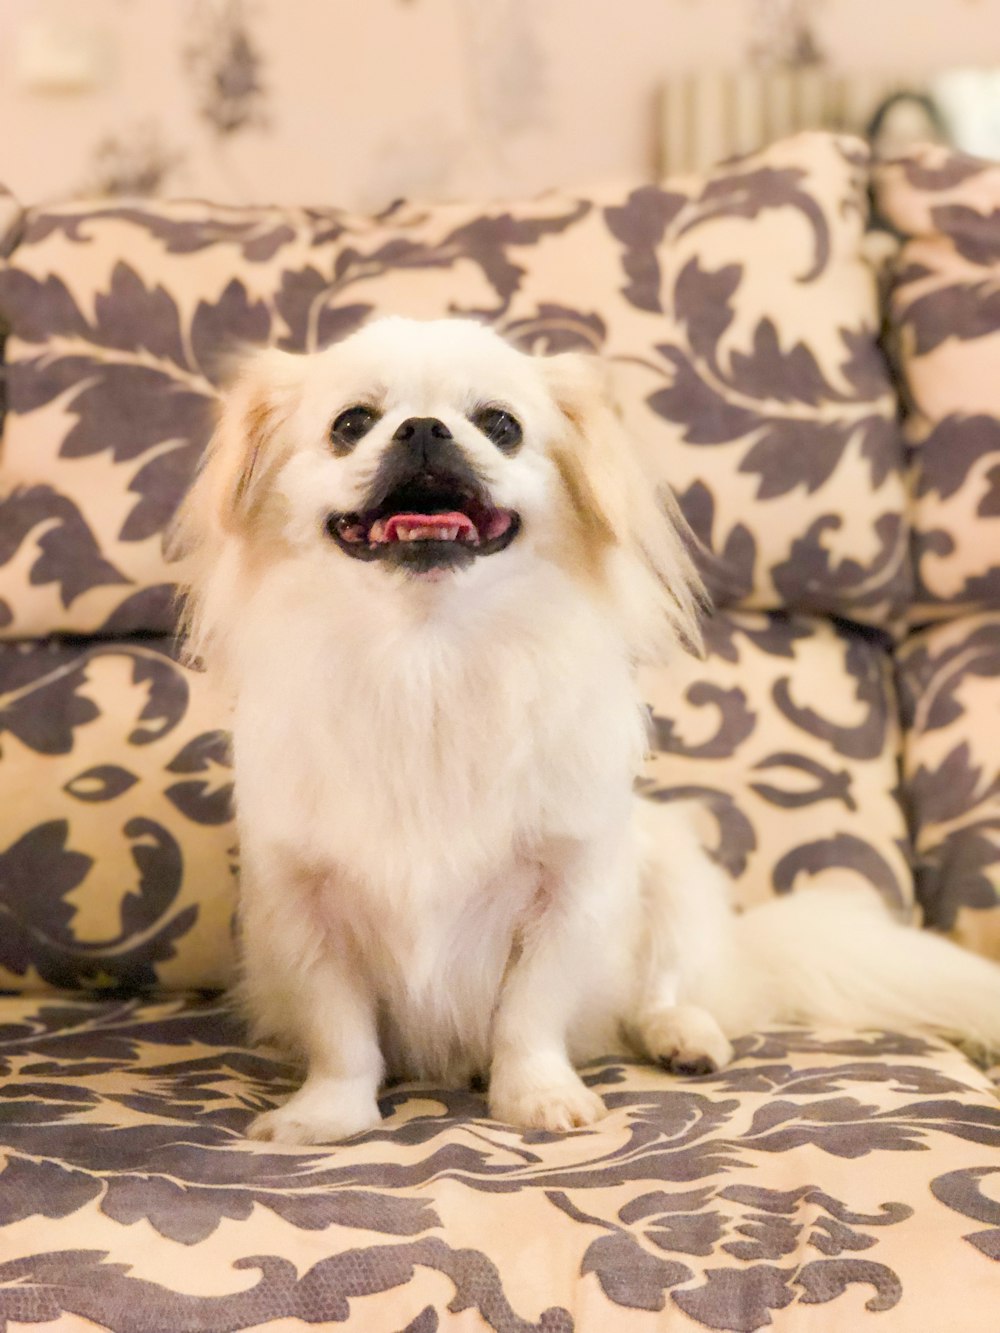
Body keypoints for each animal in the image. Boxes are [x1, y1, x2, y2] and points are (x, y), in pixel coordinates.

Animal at [176, 314, 1000, 1146]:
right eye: (350, 425)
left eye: (500, 425)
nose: (424, 429)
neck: (429, 658)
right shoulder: (303, 903)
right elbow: (341, 1029)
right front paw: (325, 1116)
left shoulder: (568, 885)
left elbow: (529, 1013)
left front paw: (538, 1098)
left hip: (673, 873)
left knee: (664, 991)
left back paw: (685, 1037)